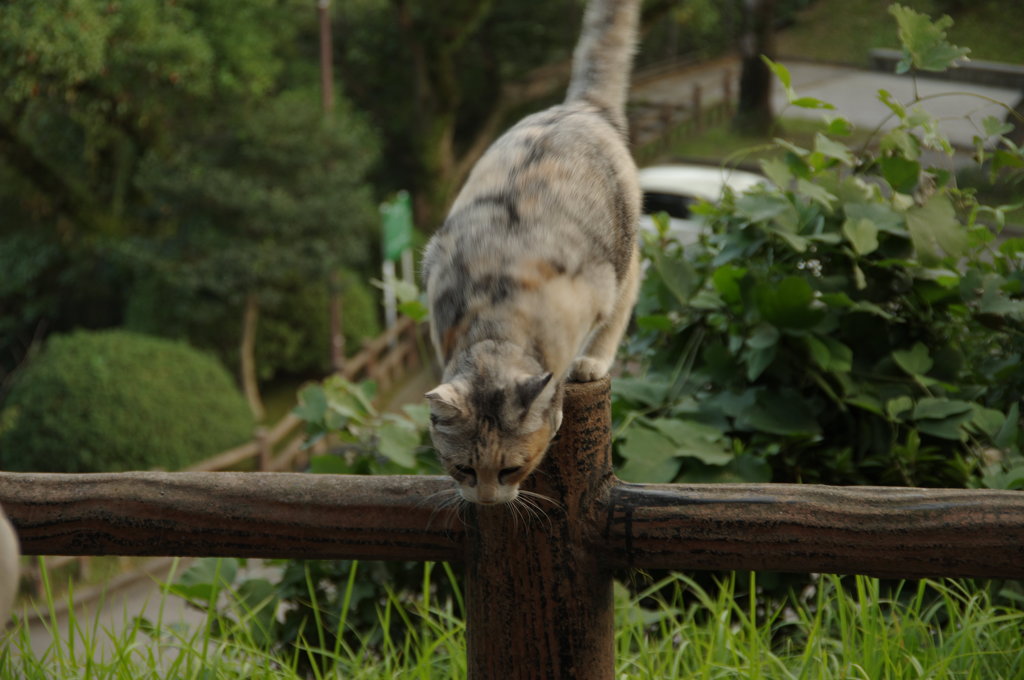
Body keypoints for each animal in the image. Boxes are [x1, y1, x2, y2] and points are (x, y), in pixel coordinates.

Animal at [419, 0, 634, 503]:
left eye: (511, 470)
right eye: (462, 469)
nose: (486, 501)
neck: (497, 318)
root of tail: (580, 107)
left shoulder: (594, 286)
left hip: (625, 251)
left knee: (626, 303)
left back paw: (591, 363)